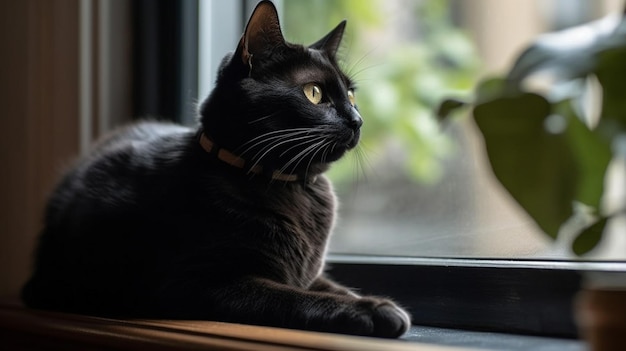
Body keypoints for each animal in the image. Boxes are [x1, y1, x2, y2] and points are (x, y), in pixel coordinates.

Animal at [22, 1, 410, 340]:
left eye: (352, 95)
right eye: (314, 93)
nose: (358, 120)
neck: (290, 186)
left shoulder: (310, 273)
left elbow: (333, 286)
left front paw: (377, 304)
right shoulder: (195, 283)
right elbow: (295, 297)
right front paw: (374, 311)